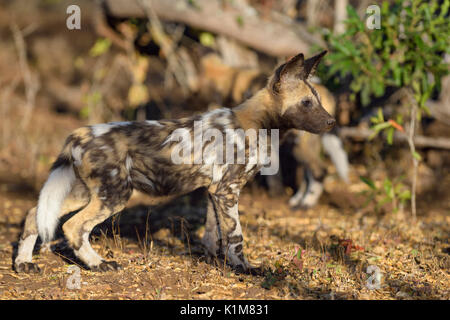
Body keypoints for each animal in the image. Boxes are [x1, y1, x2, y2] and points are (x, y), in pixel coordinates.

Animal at [14, 51, 334, 274]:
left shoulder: (215, 191)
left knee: (34, 213)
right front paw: (245, 268)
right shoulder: (227, 191)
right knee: (74, 227)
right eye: (306, 103)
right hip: (115, 195)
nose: (331, 122)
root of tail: (78, 134)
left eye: (318, 100)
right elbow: (236, 236)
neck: (258, 124)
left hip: (86, 192)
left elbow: (213, 234)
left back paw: (23, 263)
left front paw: (214, 262)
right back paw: (98, 264)